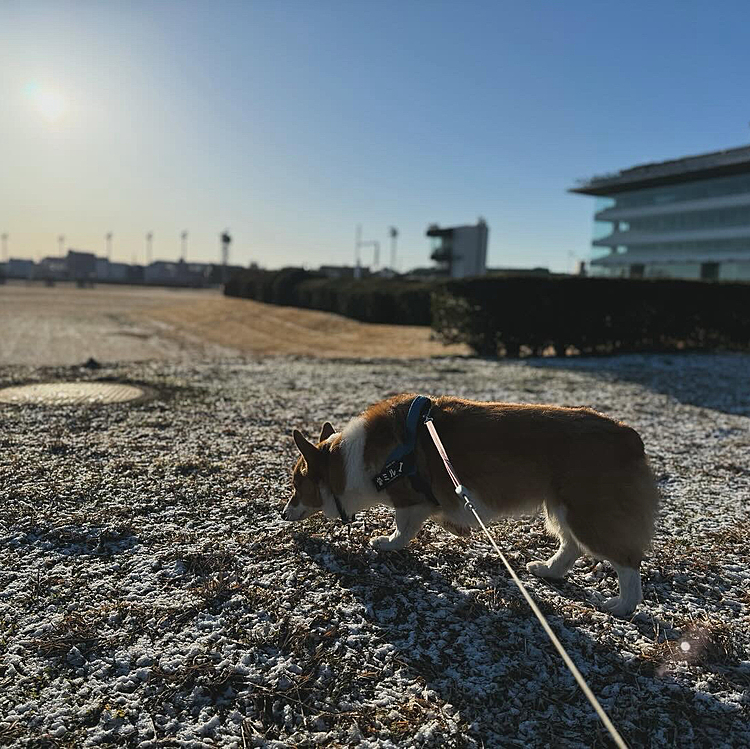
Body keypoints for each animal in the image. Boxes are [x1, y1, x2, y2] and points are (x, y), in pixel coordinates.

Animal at [282, 394, 656, 616]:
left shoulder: (411, 502)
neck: (347, 461)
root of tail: (630, 437)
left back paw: (620, 605)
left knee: (626, 562)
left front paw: (385, 543)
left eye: (296, 484)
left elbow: (402, 529)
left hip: (587, 513)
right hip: (560, 507)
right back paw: (547, 570)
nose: (282, 513)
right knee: (571, 546)